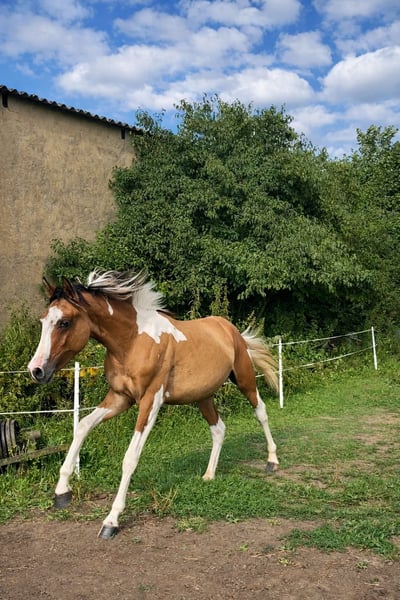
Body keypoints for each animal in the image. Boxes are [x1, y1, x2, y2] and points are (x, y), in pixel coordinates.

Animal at [28, 269, 279, 538]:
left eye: (64, 322)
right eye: (43, 321)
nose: (36, 370)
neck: (132, 341)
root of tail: (230, 329)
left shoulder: (151, 401)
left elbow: (130, 457)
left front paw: (111, 521)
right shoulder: (119, 398)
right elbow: (83, 426)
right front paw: (61, 491)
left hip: (244, 379)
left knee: (261, 412)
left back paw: (272, 462)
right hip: (203, 395)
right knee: (219, 429)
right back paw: (209, 475)